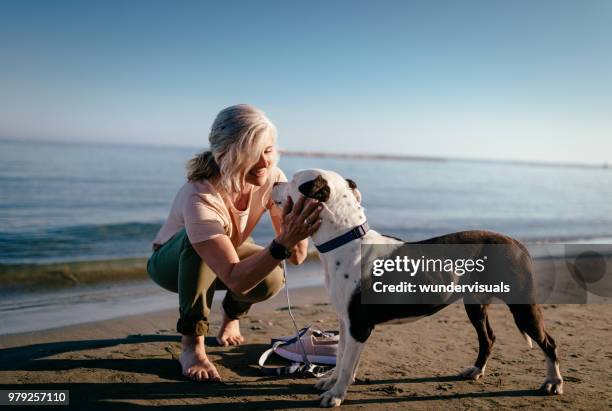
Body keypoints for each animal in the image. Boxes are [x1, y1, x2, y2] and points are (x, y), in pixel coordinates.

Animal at [272, 168, 564, 408]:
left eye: (295, 181)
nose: (274, 182)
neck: (346, 240)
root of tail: (515, 241)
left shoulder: (359, 325)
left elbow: (346, 364)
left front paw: (335, 395)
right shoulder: (346, 322)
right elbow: (343, 356)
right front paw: (332, 382)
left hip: (522, 305)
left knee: (548, 342)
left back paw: (553, 383)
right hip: (475, 304)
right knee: (487, 338)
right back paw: (476, 370)